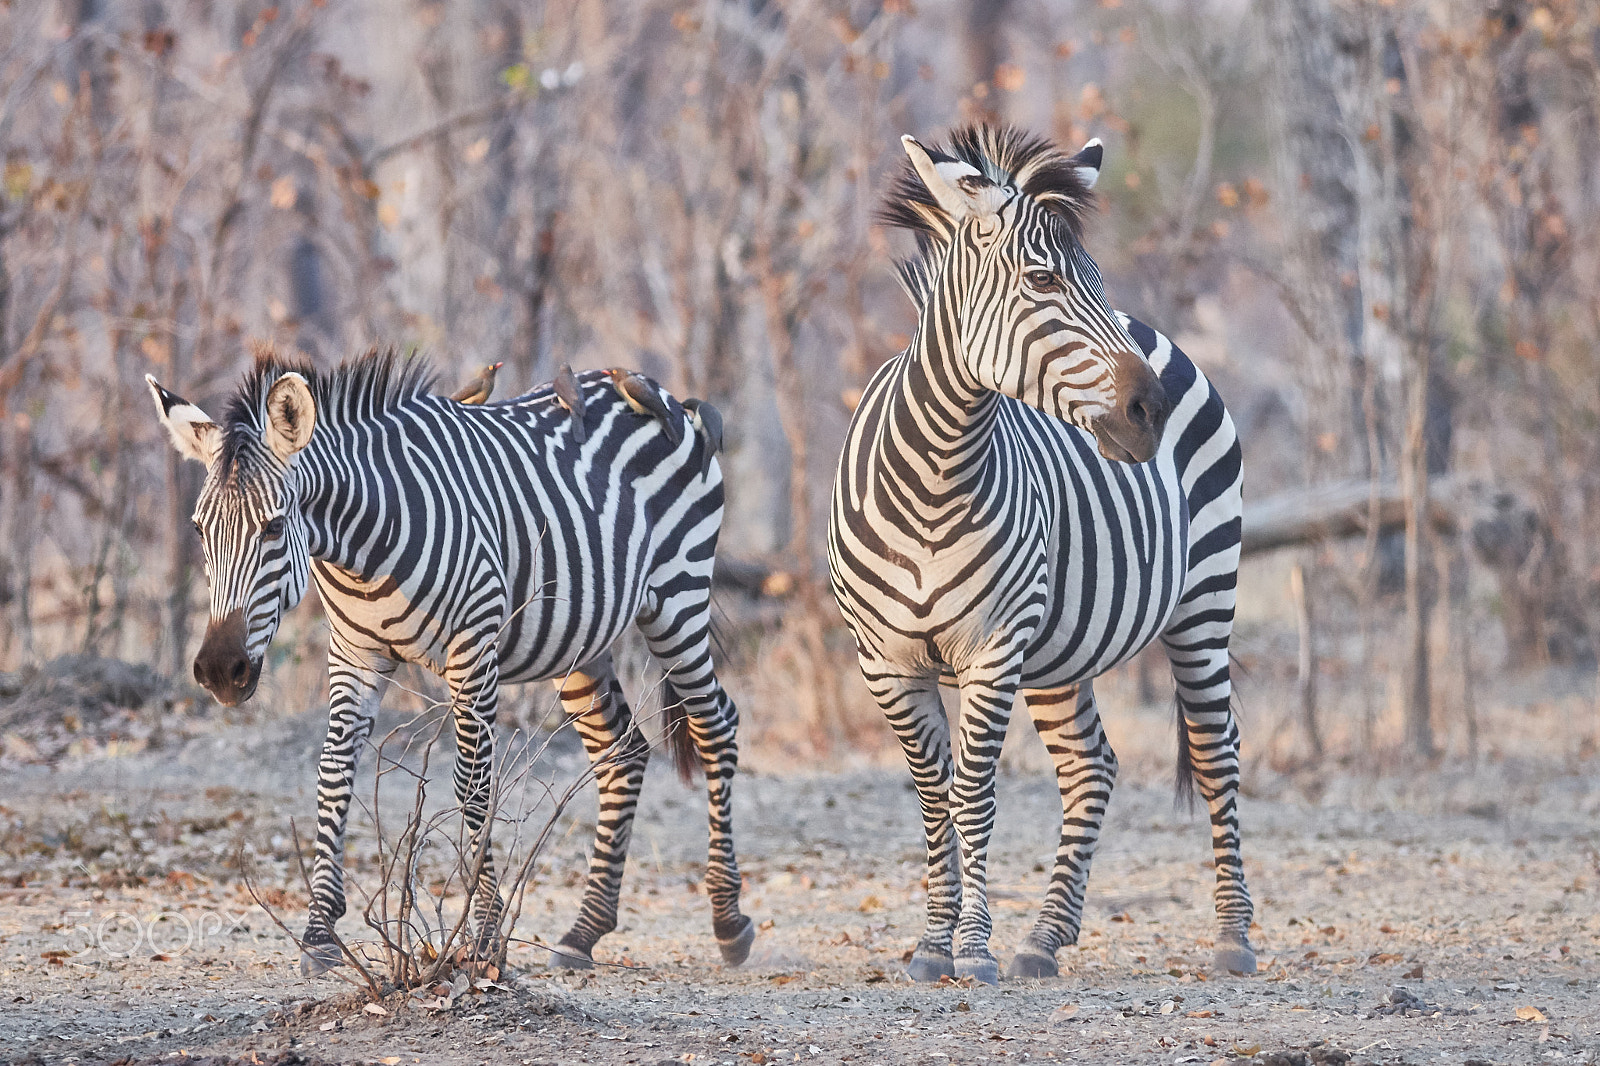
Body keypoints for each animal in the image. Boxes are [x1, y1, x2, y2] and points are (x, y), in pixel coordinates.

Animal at [147, 348, 752, 973]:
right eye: (200, 530)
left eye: (272, 526)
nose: (220, 671)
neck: (361, 550)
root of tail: (663, 394)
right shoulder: (354, 654)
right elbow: (333, 772)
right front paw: (318, 931)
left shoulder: (474, 648)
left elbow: (472, 785)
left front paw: (484, 935)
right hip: (580, 639)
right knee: (624, 751)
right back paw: (584, 931)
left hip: (678, 598)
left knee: (716, 725)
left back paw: (728, 921)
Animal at [832, 126, 1254, 985]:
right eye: (1042, 279)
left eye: (1092, 275)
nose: (1150, 408)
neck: (933, 480)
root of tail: (1152, 330)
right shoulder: (884, 661)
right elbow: (933, 796)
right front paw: (934, 944)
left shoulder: (992, 650)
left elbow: (973, 794)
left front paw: (972, 946)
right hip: (1061, 650)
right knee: (1093, 765)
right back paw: (1045, 938)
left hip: (1206, 601)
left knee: (1216, 750)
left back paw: (1233, 937)